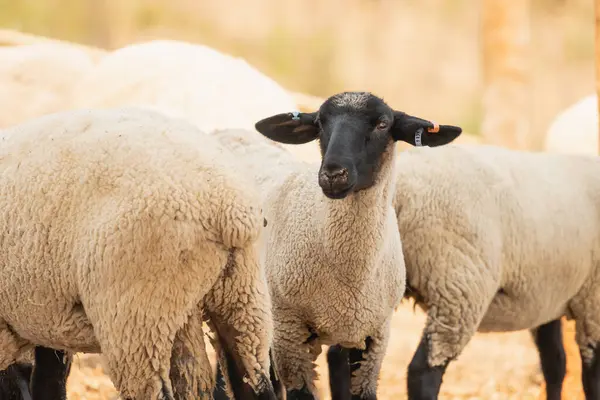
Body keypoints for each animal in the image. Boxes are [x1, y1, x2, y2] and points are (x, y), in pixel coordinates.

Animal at [0, 106, 278, 400]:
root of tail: (230, 212)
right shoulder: (48, 321)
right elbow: (47, 382)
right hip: (243, 294)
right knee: (254, 380)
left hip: (137, 318)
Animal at [209, 91, 462, 400]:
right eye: (319, 122)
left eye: (383, 124)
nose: (332, 174)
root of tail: (229, 132)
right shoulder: (289, 332)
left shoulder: (372, 336)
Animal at [318, 142, 600, 398]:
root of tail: (400, 190)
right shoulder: (591, 304)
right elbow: (591, 373)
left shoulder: (548, 299)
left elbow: (555, 363)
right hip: (458, 288)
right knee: (423, 371)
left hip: (371, 284)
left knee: (342, 359)